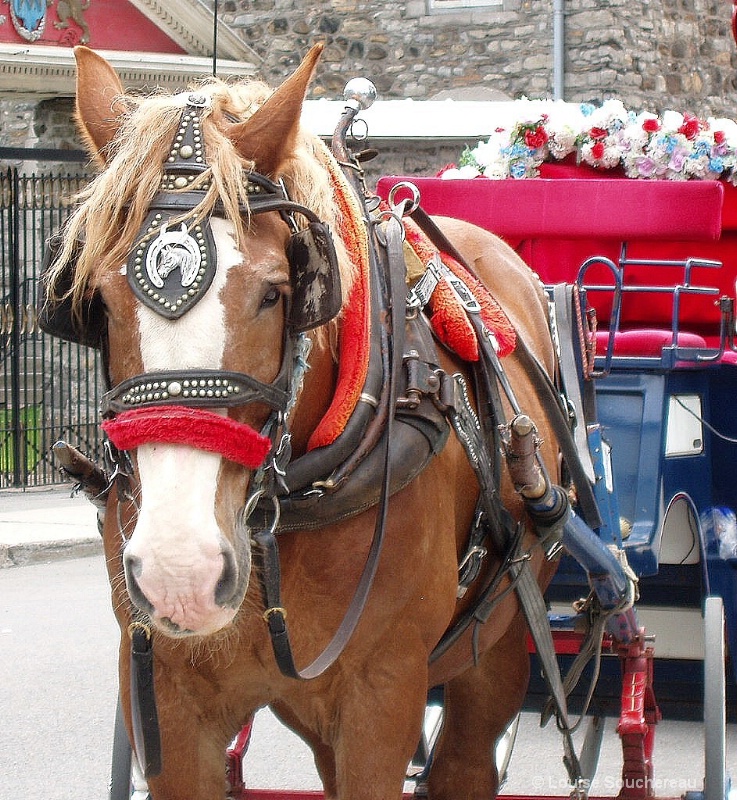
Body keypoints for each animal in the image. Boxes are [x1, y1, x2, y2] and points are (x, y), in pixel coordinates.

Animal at [46, 42, 572, 800]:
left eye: (275, 293)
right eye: (99, 300)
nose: (181, 569)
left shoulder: (382, 692)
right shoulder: (168, 695)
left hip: (497, 639)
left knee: (465, 761)